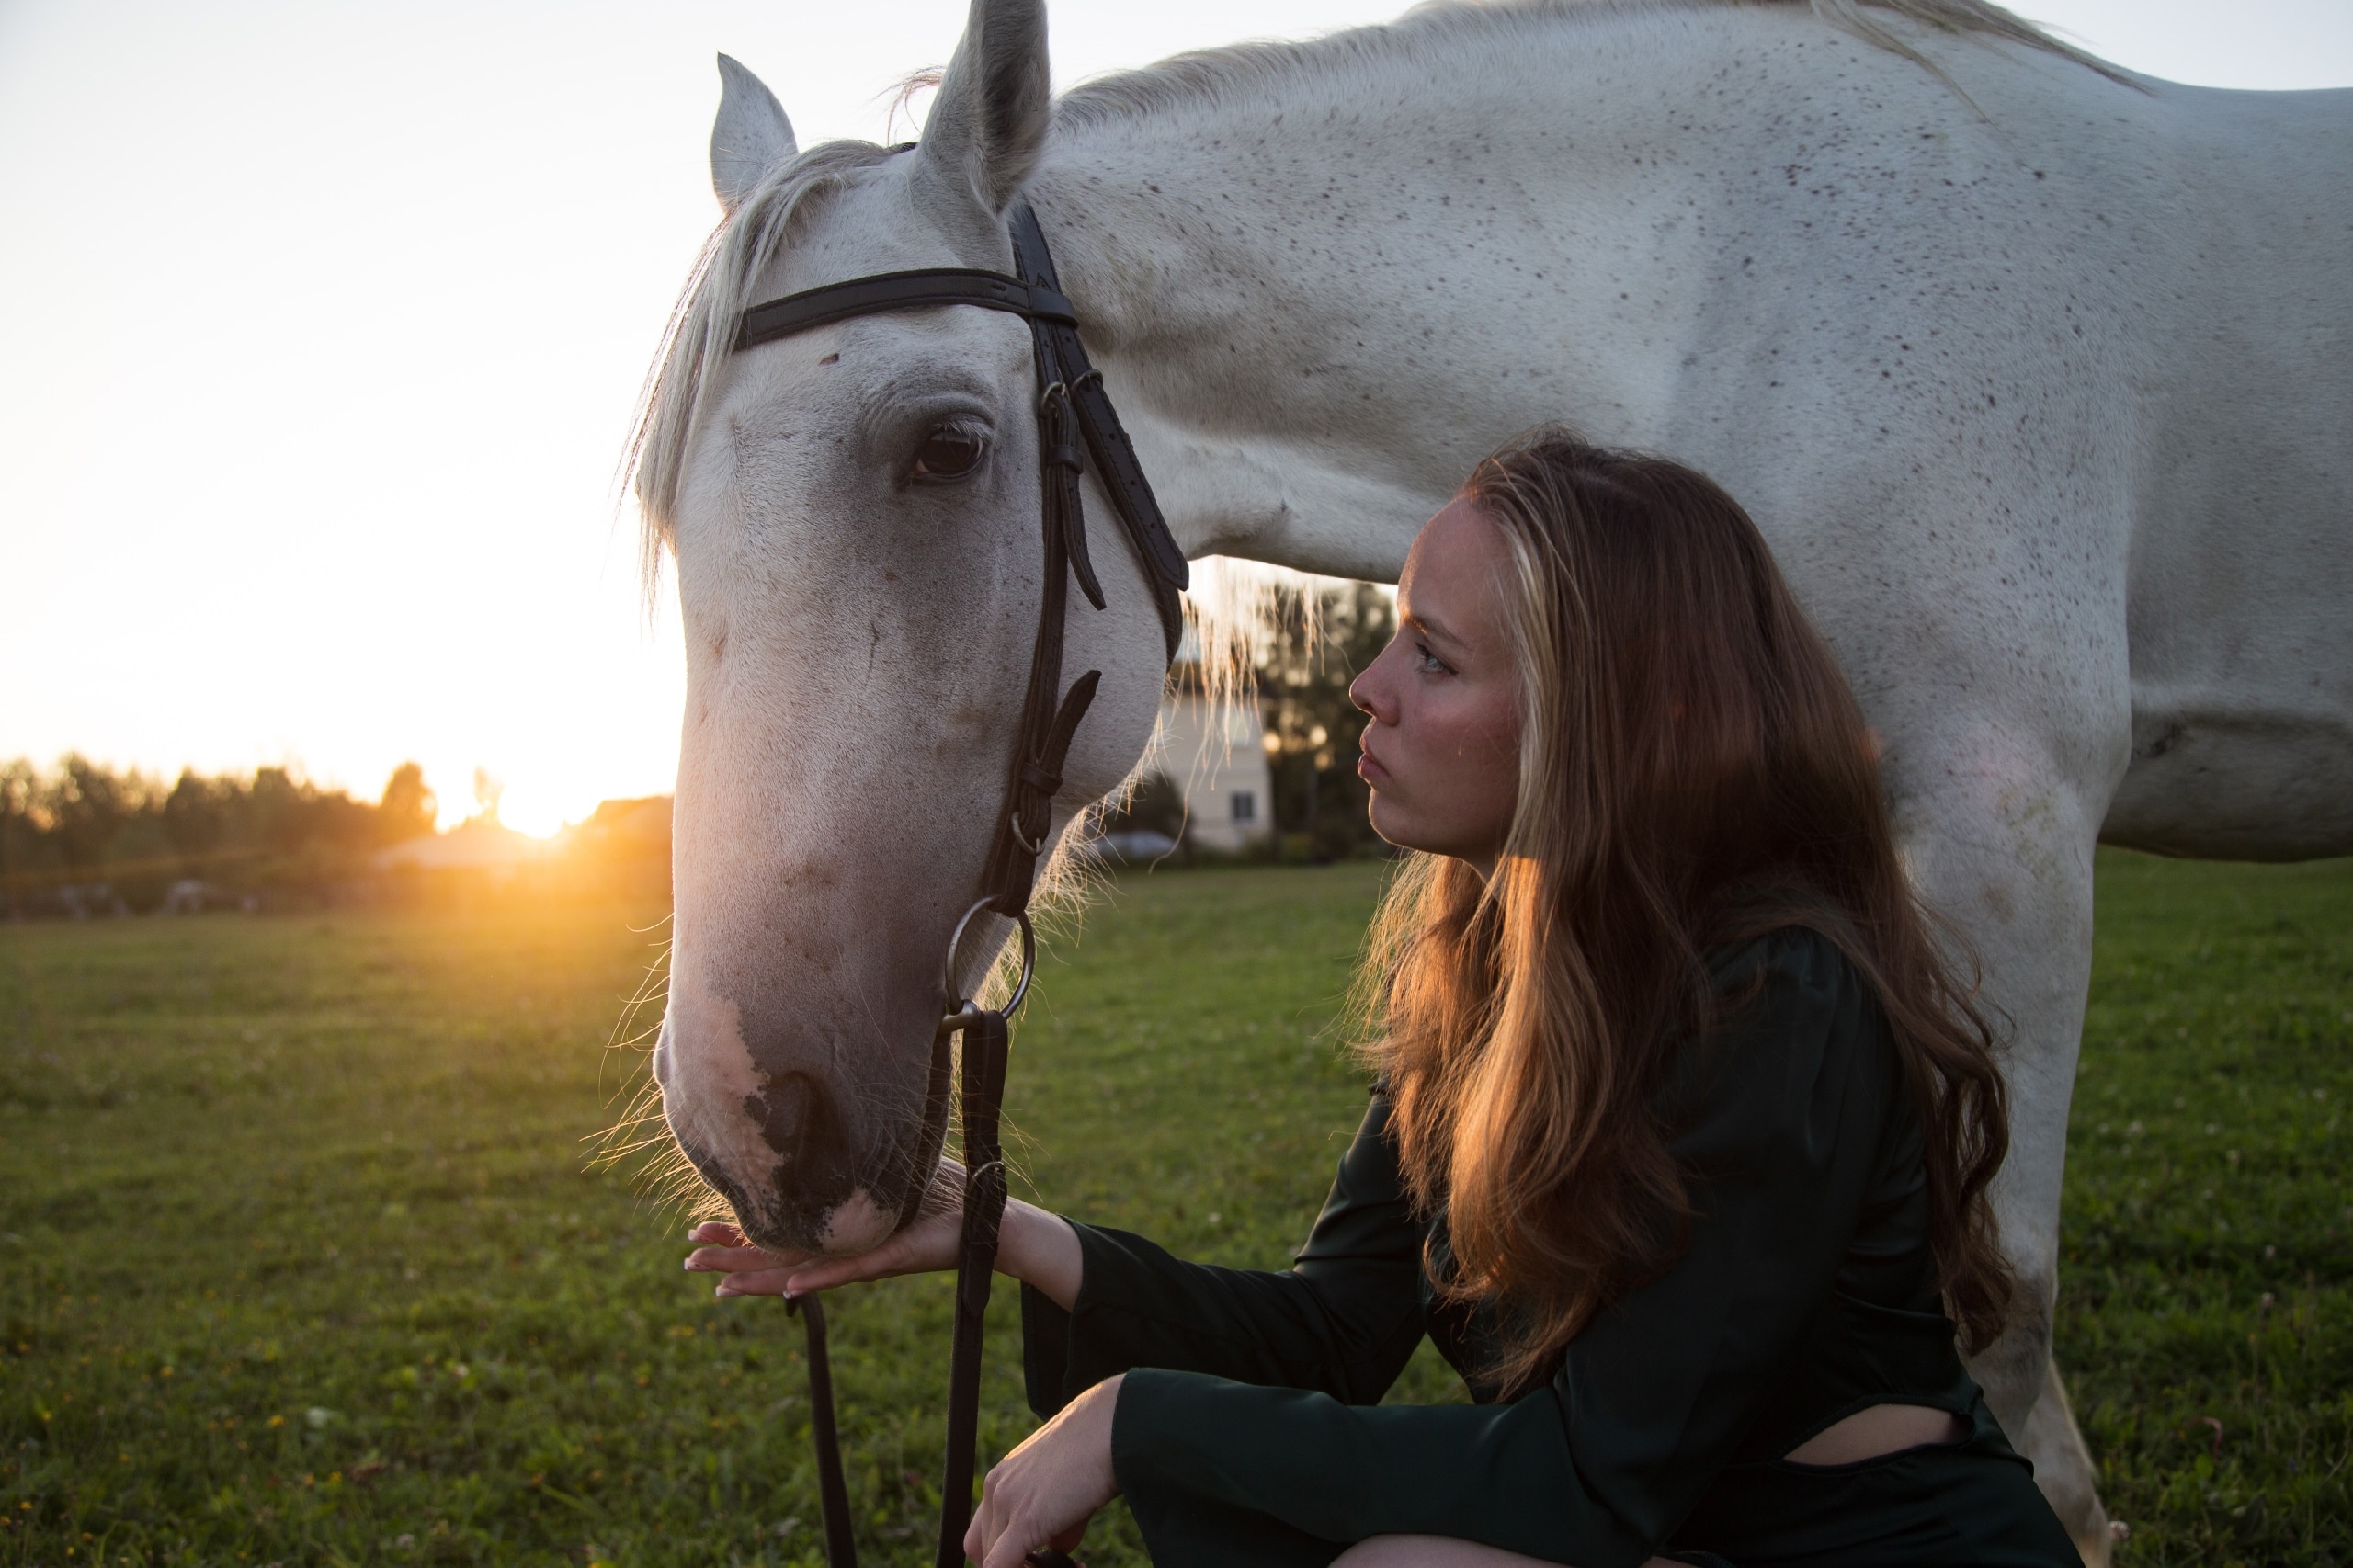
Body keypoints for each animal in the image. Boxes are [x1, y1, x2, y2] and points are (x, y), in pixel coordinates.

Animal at [635, 6, 2343, 1553]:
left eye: (945, 447)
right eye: (668, 509)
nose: (742, 1114)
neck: (1733, 303)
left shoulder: (2009, 823)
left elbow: (2003, 1299)